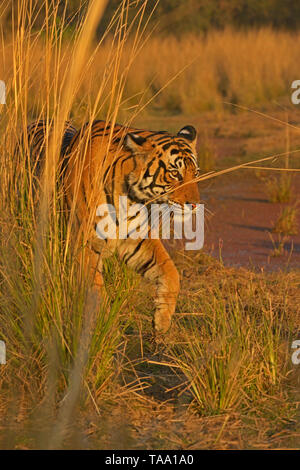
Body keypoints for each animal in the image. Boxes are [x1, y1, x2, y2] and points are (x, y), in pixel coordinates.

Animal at [24, 119, 200, 336]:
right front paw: (104, 330)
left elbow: (171, 272)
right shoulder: (84, 244)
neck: (130, 198)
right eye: (175, 174)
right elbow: (97, 292)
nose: (195, 205)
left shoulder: (136, 238)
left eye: (196, 173)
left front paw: (162, 321)